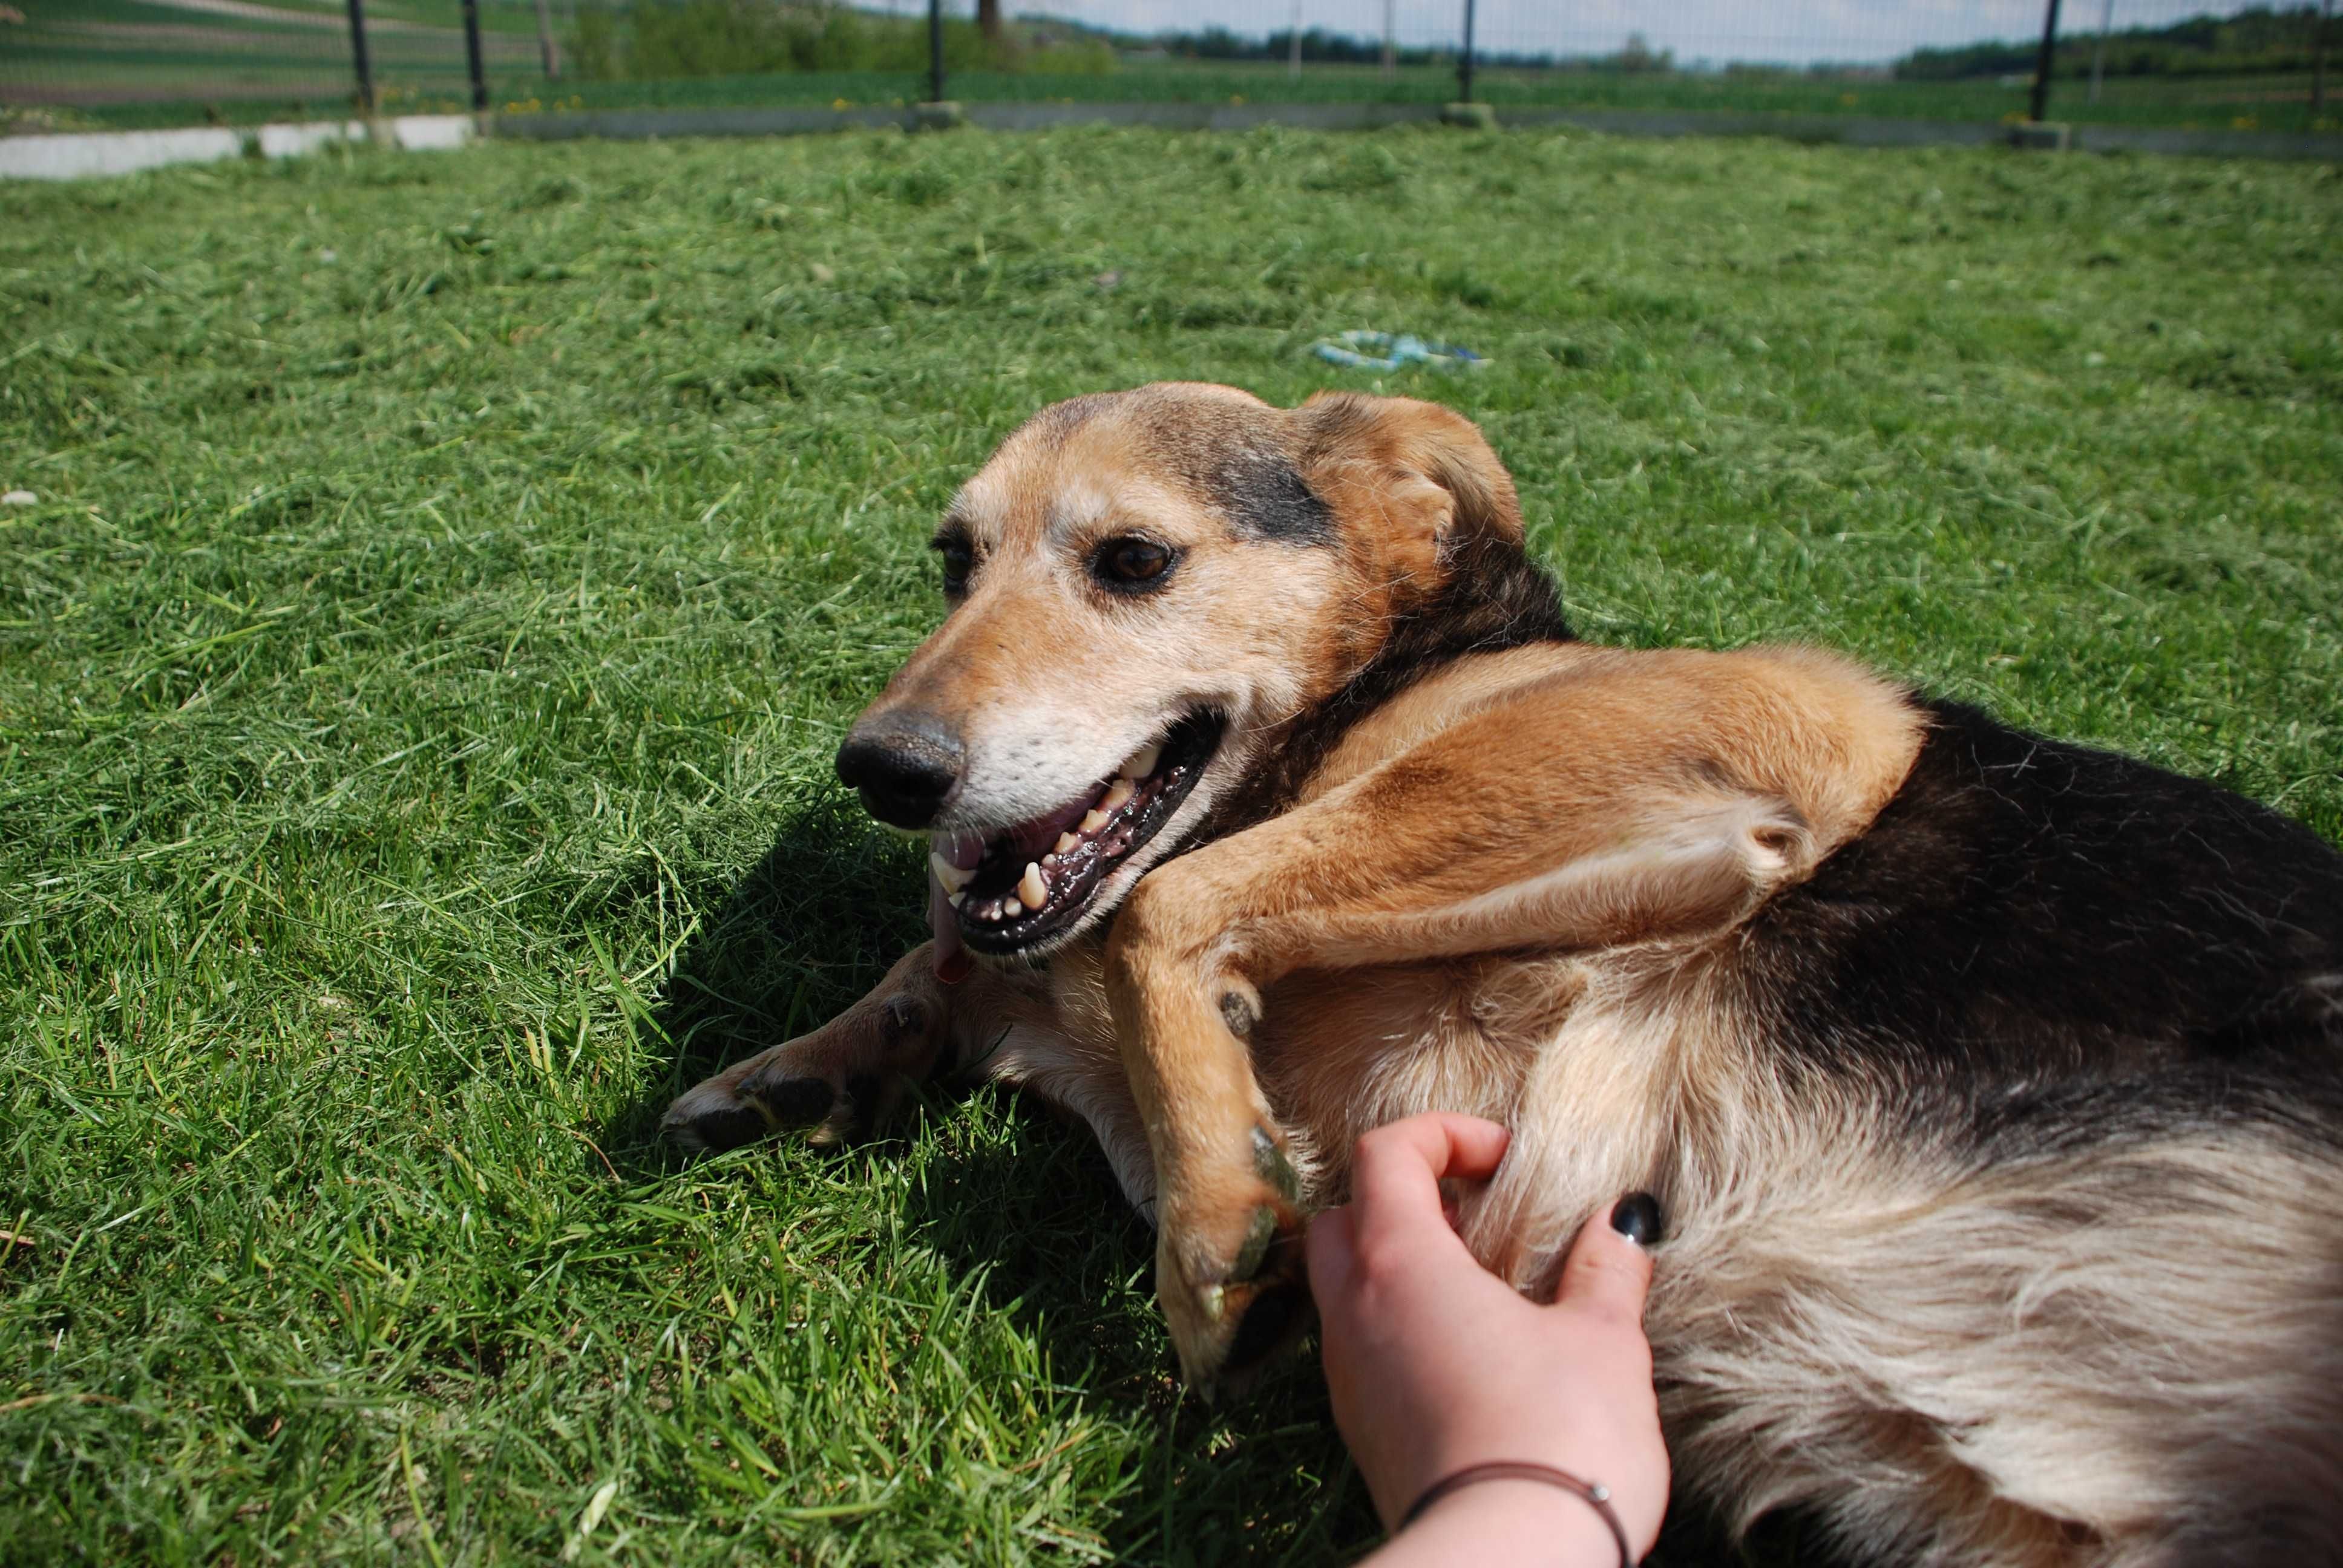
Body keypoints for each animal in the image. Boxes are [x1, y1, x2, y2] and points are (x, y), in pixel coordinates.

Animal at [660, 382, 2343, 1566]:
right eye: (952, 565)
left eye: (1132, 561)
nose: (882, 770)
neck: (1371, 701)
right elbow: (954, 942)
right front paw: (795, 1069)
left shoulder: (1794, 725)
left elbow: (1146, 918)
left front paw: (1213, 1216)